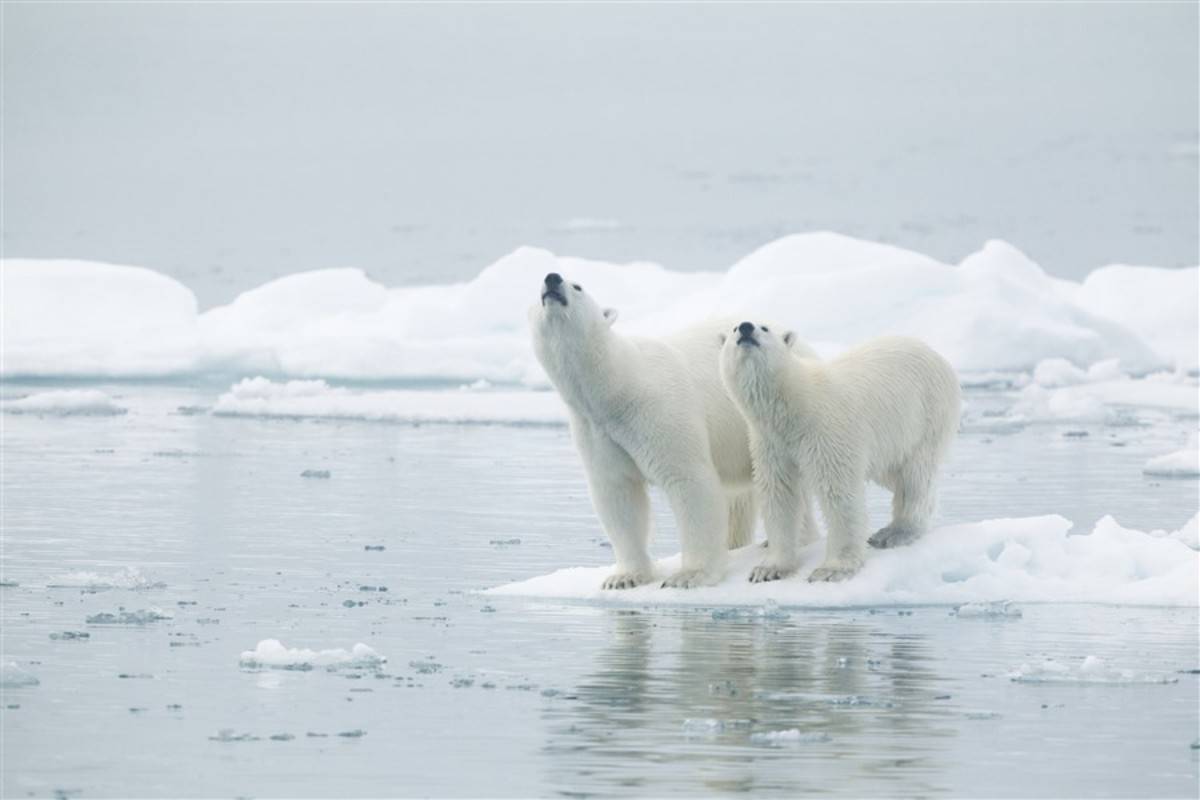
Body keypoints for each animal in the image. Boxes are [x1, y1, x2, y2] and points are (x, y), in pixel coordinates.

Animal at [532, 272, 816, 592]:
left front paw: (688, 575)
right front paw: (624, 577)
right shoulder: (595, 428)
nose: (552, 279)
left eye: (578, 286)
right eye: (537, 289)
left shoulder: (658, 410)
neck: (619, 387)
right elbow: (617, 492)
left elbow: (689, 480)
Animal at [715, 321, 960, 585]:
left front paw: (831, 570)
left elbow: (839, 493)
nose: (745, 327)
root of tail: (936, 355)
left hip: (926, 415)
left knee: (915, 475)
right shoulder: (771, 444)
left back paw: (895, 532)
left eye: (764, 327)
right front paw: (768, 569)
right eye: (733, 329)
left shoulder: (826, 432)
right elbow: (779, 493)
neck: (795, 406)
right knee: (893, 474)